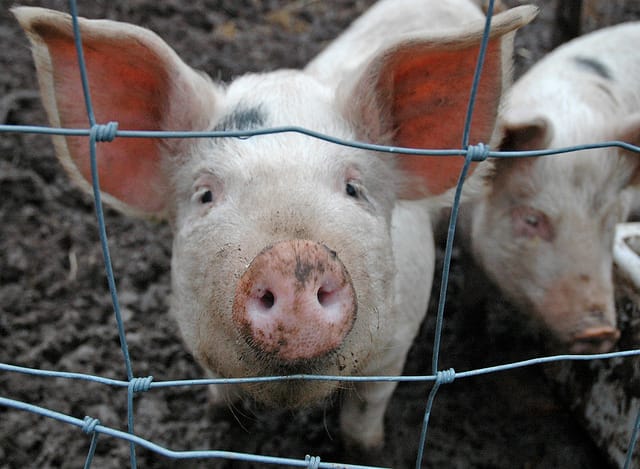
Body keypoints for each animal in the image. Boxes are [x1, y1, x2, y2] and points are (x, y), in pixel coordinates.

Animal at [13, 1, 536, 449]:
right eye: (205, 194)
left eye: (354, 188)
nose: (295, 259)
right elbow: (221, 389)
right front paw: (222, 423)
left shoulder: (397, 345)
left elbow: (366, 409)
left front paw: (367, 448)